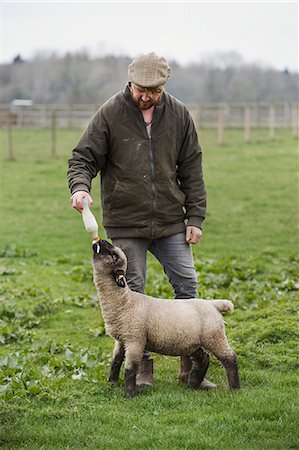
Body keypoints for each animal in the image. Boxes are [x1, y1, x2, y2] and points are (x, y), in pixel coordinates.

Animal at [92, 239, 241, 398]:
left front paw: (129, 394)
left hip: (214, 336)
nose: (100, 240)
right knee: (203, 359)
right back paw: (193, 384)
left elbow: (130, 369)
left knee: (229, 357)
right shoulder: (121, 339)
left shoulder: (135, 340)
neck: (124, 301)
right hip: (192, 341)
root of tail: (213, 304)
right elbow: (116, 361)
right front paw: (112, 383)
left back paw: (234, 388)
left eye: (114, 256)